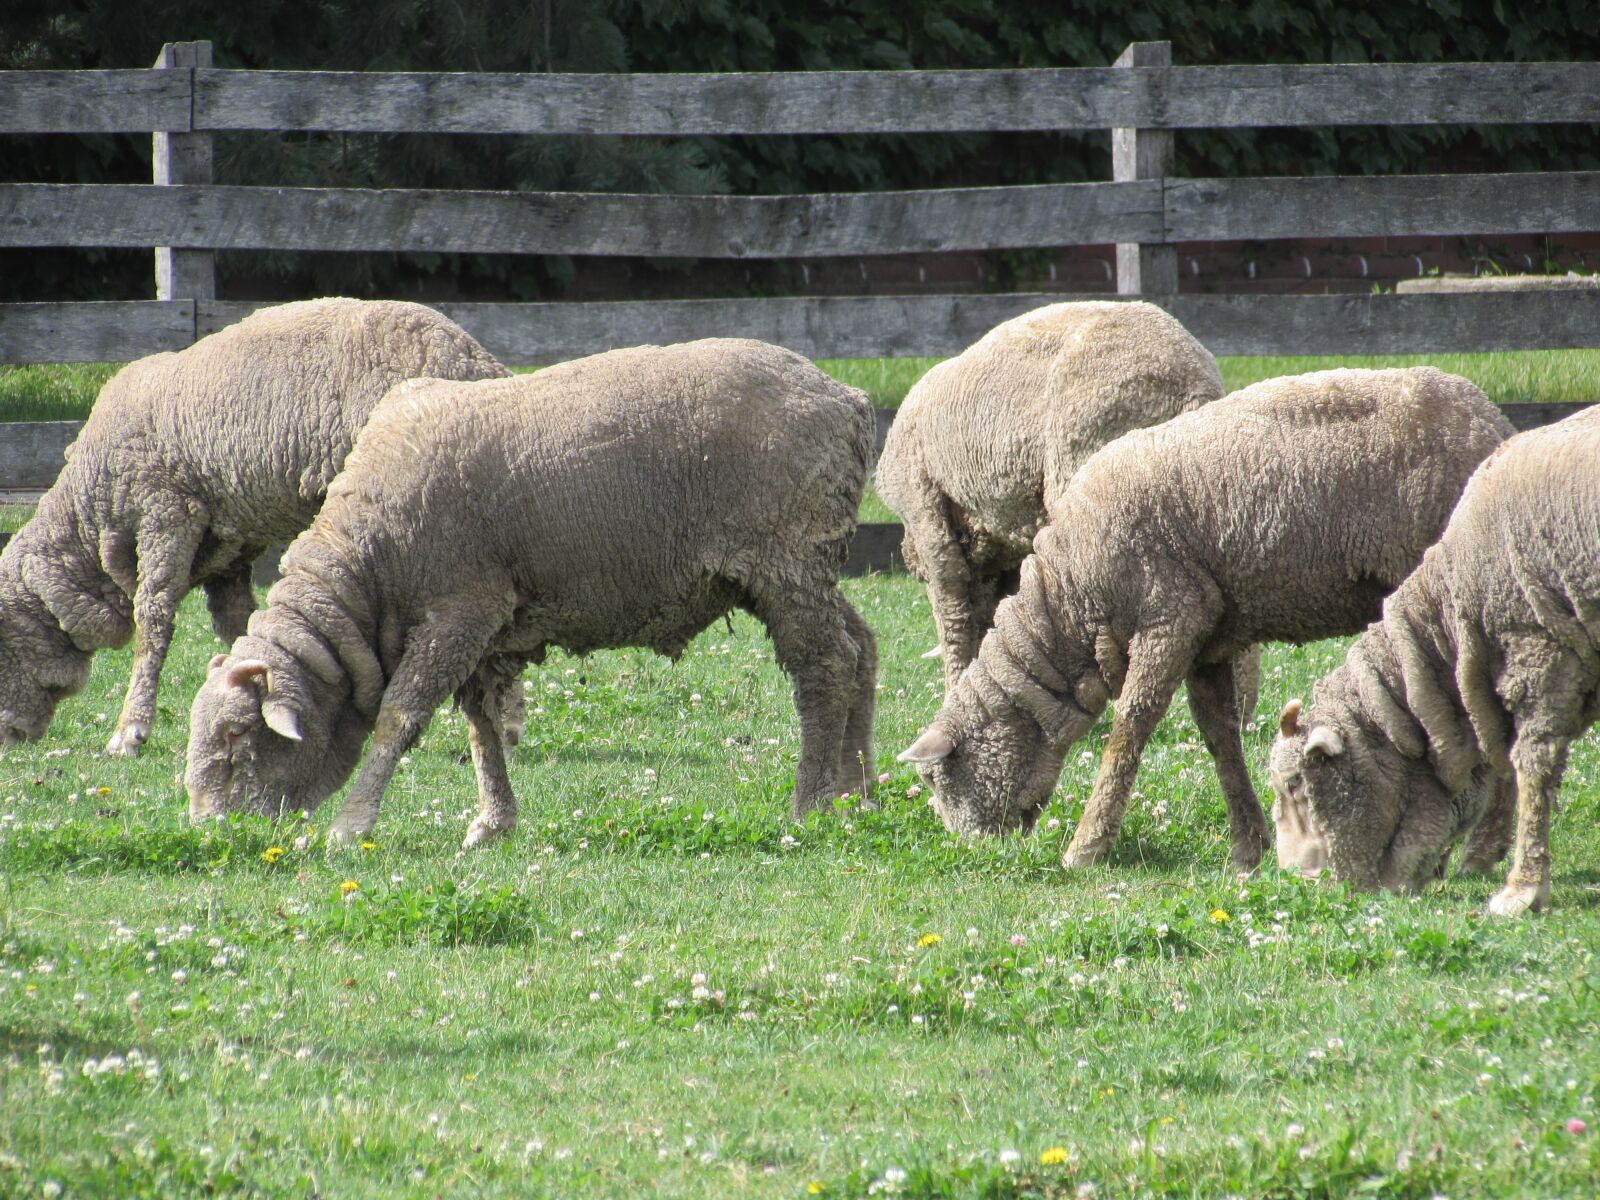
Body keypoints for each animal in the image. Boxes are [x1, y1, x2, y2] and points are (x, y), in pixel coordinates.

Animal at [0, 296, 505, 755]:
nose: (9, 740)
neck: (92, 520)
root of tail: (477, 362)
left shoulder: (167, 509)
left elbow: (153, 619)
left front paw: (130, 731)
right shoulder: (229, 548)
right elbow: (239, 622)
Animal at [188, 336, 889, 844]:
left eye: (237, 738)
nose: (207, 832)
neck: (370, 569)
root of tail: (848, 398)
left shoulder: (459, 611)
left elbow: (399, 716)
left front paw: (349, 825)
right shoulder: (485, 627)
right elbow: (481, 727)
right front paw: (492, 823)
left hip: (786, 559)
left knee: (827, 666)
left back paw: (810, 803)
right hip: (809, 563)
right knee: (862, 647)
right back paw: (857, 792)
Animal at [902, 366, 1510, 876]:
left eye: (937, 778)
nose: (975, 851)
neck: (1070, 602)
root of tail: (1491, 420)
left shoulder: (1171, 617)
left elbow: (1128, 730)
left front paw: (1086, 847)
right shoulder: (1211, 639)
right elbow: (1219, 737)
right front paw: (1248, 848)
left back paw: (1481, 856)